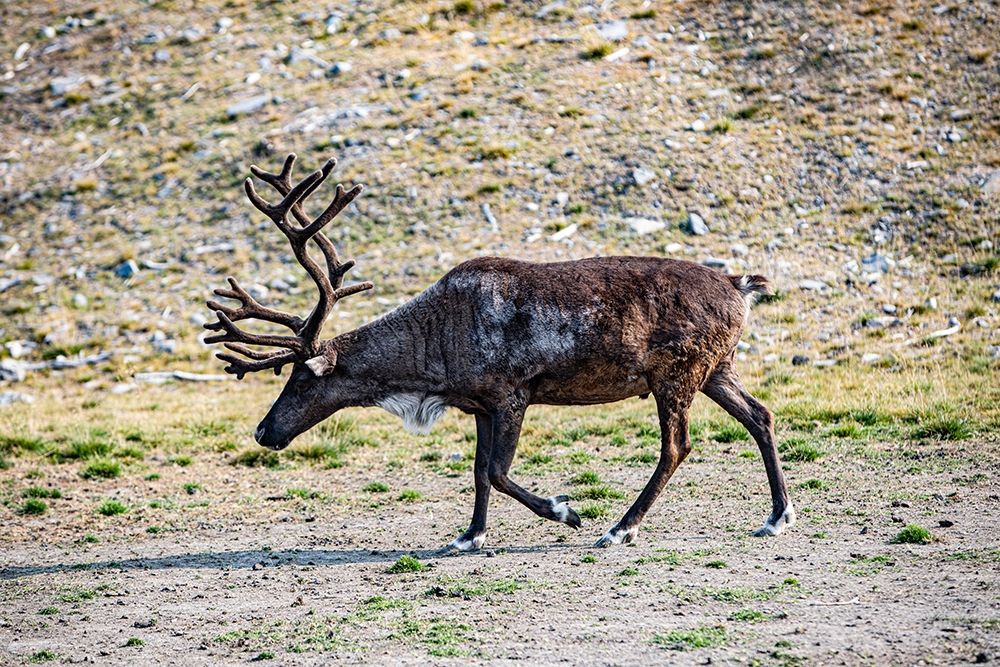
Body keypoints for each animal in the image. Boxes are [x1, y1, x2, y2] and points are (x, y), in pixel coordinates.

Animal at [205, 154, 795, 551]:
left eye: (302, 377)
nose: (263, 431)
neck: (433, 358)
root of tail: (741, 286)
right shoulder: (480, 406)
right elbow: (477, 471)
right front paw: (470, 536)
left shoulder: (512, 394)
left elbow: (496, 472)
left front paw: (564, 511)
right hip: (717, 368)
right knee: (760, 416)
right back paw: (777, 516)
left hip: (676, 374)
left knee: (677, 446)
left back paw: (619, 528)